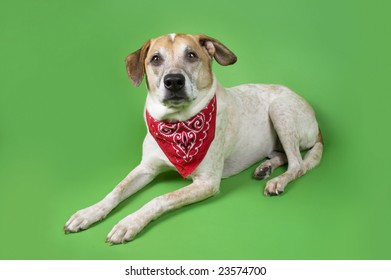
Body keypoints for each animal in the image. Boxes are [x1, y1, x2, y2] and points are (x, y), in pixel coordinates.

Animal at [64, 32, 324, 244]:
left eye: (191, 55)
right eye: (155, 59)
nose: (174, 81)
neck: (178, 126)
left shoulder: (206, 182)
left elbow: (159, 198)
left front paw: (129, 223)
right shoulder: (146, 168)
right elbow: (117, 190)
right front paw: (89, 212)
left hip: (280, 110)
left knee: (297, 164)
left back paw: (277, 181)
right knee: (283, 156)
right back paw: (266, 167)